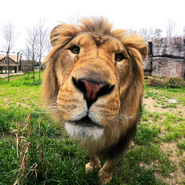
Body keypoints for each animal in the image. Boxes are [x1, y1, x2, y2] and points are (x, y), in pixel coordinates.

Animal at [41, 17, 147, 184]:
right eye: (75, 49)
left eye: (119, 57)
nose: (92, 88)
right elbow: (91, 150)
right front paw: (93, 165)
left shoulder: (123, 137)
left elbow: (112, 161)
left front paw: (103, 177)